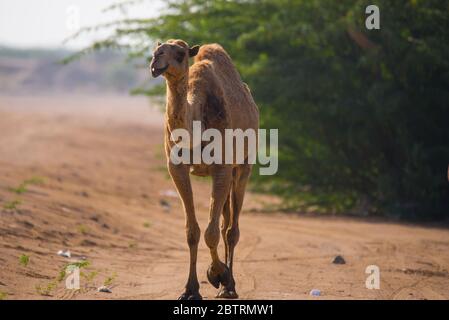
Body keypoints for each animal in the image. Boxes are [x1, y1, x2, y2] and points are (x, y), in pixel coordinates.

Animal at [150, 38, 258, 298]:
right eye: (157, 48)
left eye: (180, 53)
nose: (156, 58)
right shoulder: (176, 168)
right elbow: (192, 231)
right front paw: (190, 289)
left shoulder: (221, 167)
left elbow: (211, 232)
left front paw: (218, 275)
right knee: (225, 222)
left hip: (244, 164)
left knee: (231, 230)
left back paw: (229, 286)